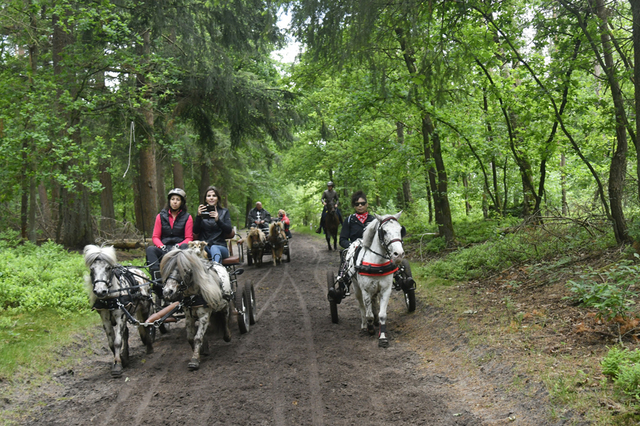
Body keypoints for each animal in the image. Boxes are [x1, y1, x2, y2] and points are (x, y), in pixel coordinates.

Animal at [84, 245, 154, 378]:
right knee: (125, 333)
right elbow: (112, 342)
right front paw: (121, 359)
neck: (110, 297)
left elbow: (117, 341)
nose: (100, 291)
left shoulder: (120, 316)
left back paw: (149, 348)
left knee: (147, 325)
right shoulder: (105, 318)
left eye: (108, 268)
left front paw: (117, 365)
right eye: (92, 269)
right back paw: (126, 356)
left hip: (144, 308)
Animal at [344, 211, 404, 348]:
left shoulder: (386, 290)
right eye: (384, 231)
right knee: (362, 305)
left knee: (374, 302)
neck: (377, 263)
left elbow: (382, 314)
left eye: (400, 229)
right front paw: (370, 328)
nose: (399, 254)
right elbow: (369, 313)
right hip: (356, 287)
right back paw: (364, 325)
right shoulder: (366, 290)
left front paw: (382, 337)